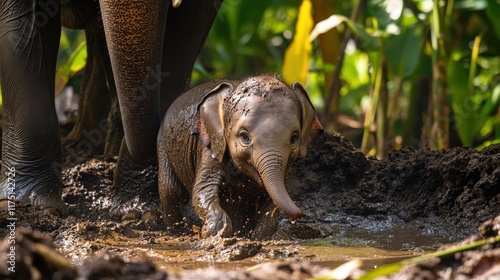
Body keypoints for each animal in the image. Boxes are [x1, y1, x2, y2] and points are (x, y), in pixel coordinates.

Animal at [157, 76, 324, 238]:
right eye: (244, 137)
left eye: (294, 138)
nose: (302, 214)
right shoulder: (212, 146)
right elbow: (203, 189)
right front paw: (214, 233)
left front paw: (257, 236)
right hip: (162, 144)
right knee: (171, 189)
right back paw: (176, 232)